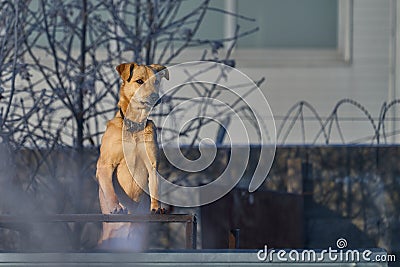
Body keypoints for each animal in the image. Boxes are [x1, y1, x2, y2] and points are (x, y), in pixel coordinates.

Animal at [97, 62, 169, 249]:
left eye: (156, 81)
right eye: (139, 81)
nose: (155, 96)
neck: (135, 126)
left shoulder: (152, 165)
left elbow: (155, 187)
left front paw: (156, 207)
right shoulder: (105, 165)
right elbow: (110, 188)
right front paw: (116, 206)